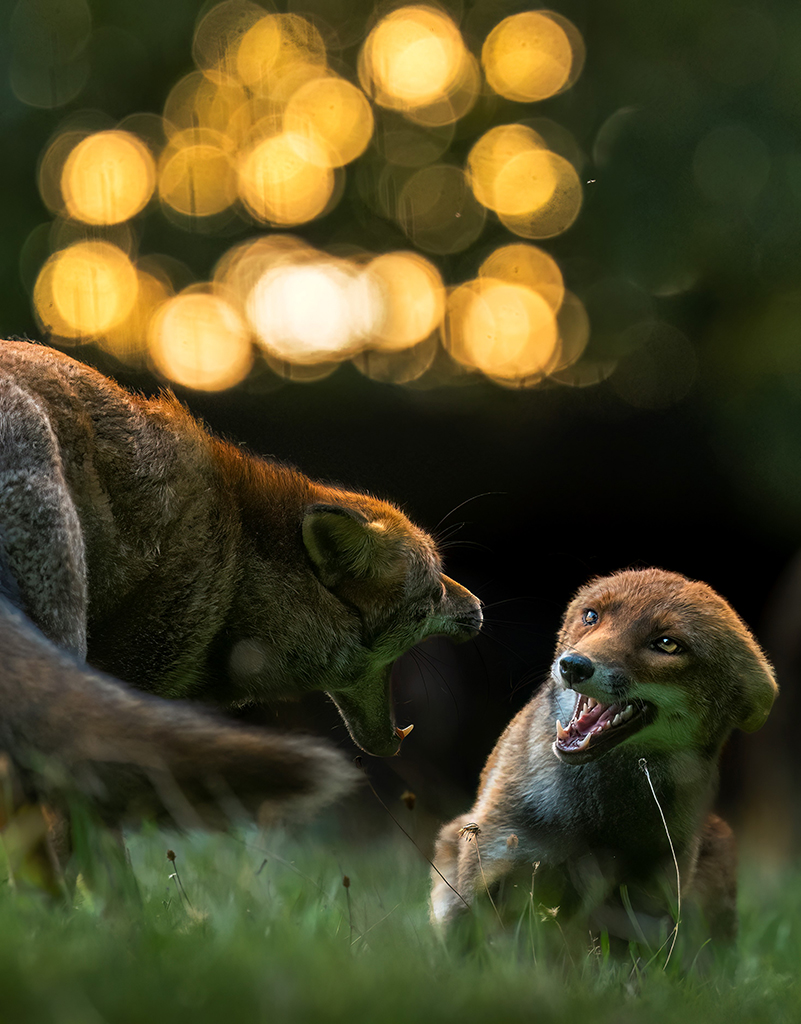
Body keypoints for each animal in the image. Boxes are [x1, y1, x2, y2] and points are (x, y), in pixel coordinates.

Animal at [430, 568, 777, 949]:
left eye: (667, 644)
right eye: (591, 616)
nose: (573, 666)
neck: (594, 820)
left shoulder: (646, 900)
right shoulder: (492, 865)